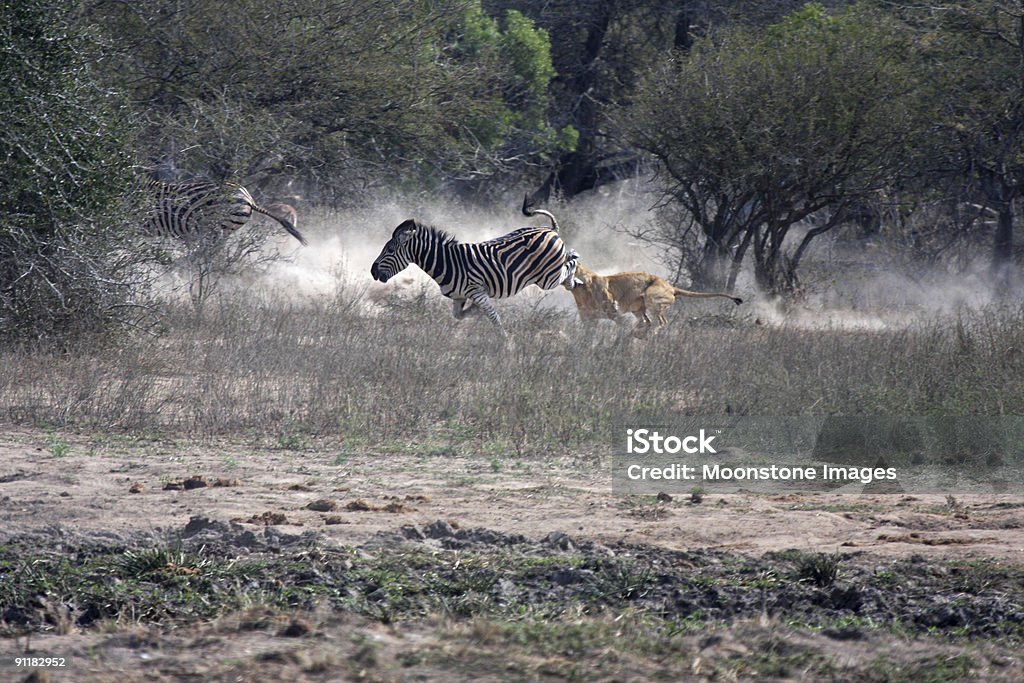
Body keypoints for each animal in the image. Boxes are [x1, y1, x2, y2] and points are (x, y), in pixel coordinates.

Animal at [368, 194, 577, 339]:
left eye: (390, 250)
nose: (372, 271)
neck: (446, 262)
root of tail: (548, 229)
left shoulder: (476, 290)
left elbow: (493, 317)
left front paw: (507, 344)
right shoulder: (460, 296)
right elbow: (461, 315)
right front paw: (475, 311)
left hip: (547, 279)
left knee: (572, 262)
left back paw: (574, 277)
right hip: (548, 273)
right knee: (568, 261)